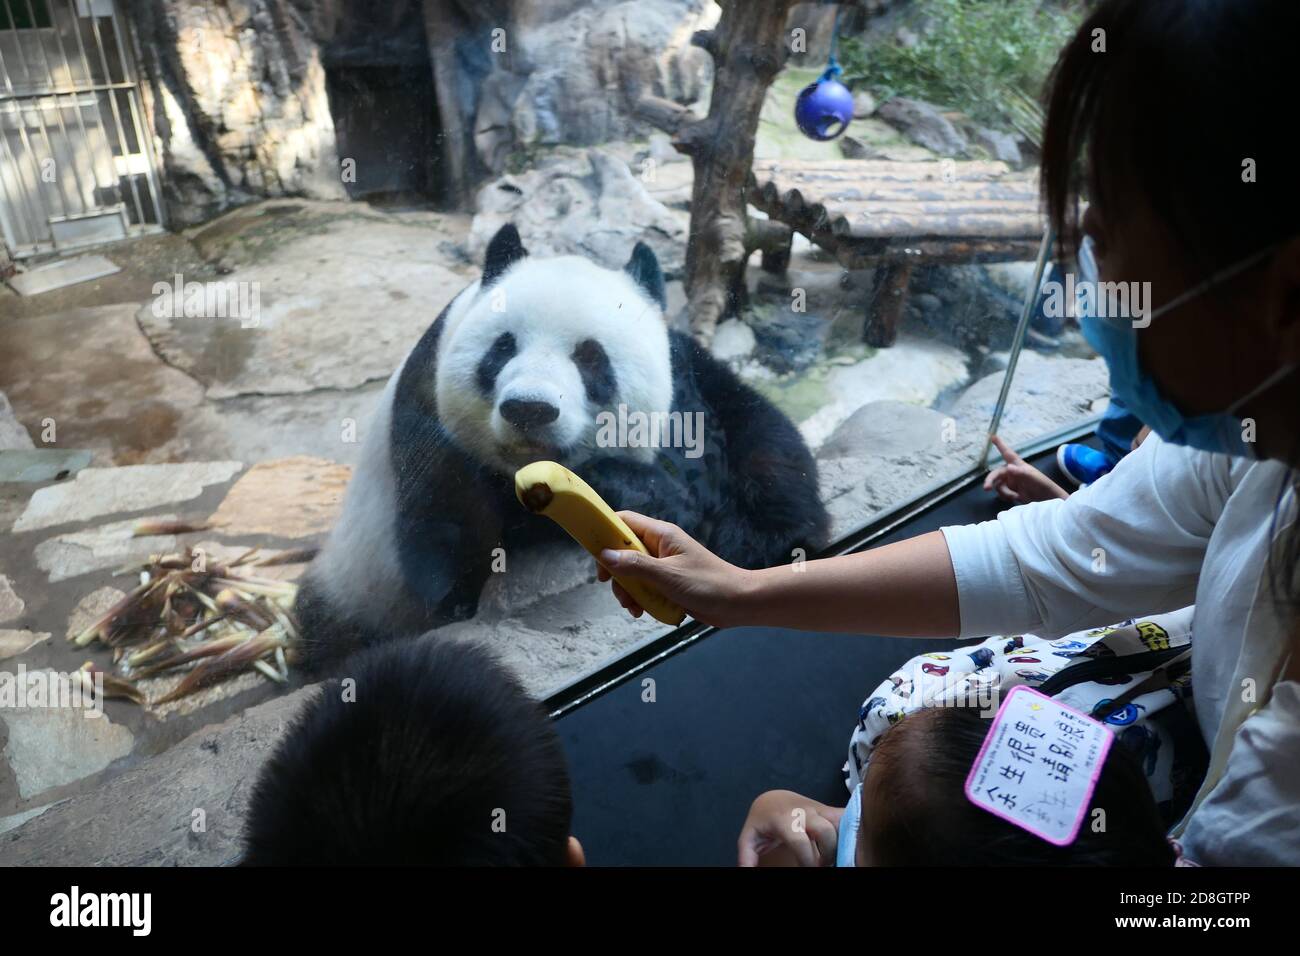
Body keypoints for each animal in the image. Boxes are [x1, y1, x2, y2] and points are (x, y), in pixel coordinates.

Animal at [295, 226, 826, 671]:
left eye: (591, 356)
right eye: (502, 348)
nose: (529, 408)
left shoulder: (686, 369)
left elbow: (755, 436)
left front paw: (770, 541)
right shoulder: (429, 428)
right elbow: (444, 561)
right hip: (354, 584)